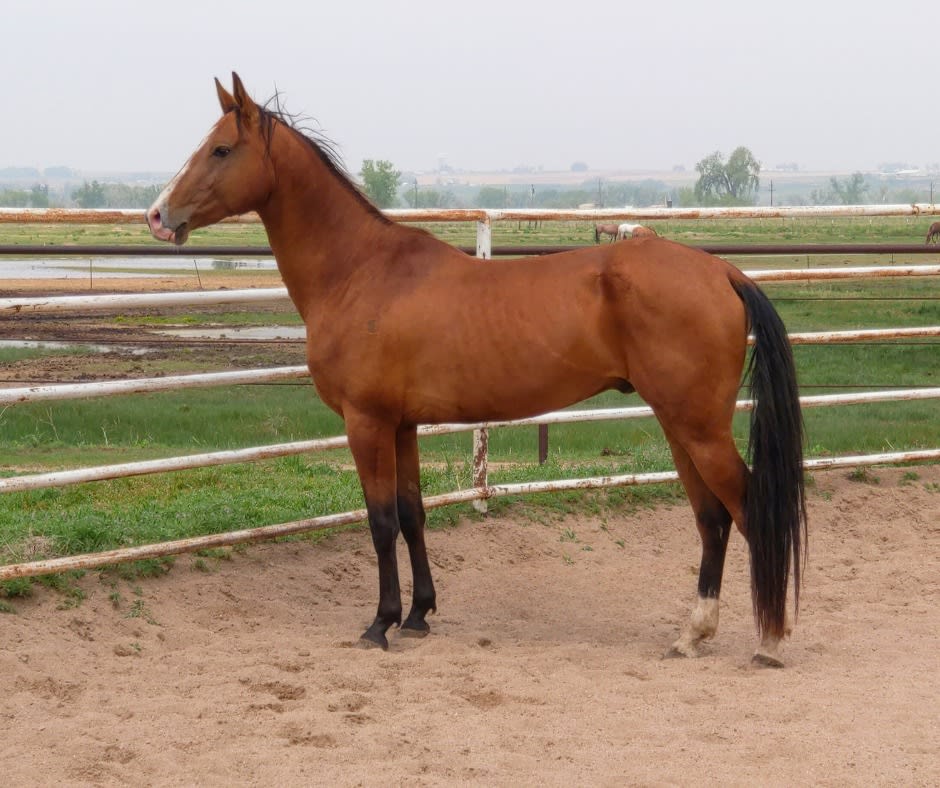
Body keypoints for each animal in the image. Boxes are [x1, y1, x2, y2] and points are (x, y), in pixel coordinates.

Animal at [147, 74, 806, 666]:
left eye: (221, 149)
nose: (157, 215)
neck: (361, 271)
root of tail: (720, 270)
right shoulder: (403, 425)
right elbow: (411, 514)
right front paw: (418, 614)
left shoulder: (367, 423)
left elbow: (379, 521)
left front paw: (380, 624)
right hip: (679, 426)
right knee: (711, 519)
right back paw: (692, 635)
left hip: (699, 428)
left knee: (749, 511)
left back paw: (770, 641)